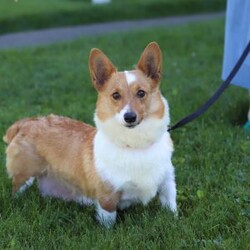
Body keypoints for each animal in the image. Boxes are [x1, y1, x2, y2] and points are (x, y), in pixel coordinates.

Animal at [2, 42, 177, 228]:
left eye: (141, 93)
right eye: (116, 95)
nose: (129, 117)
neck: (135, 143)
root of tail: (27, 122)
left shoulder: (168, 182)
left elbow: (170, 204)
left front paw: (173, 218)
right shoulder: (107, 196)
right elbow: (108, 219)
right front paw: (108, 231)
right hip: (24, 175)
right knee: (17, 188)